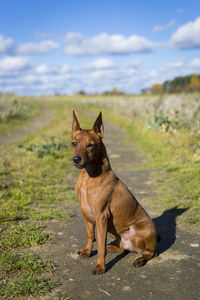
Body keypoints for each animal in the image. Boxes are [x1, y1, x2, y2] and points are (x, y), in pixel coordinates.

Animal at [71, 110, 159, 274]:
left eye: (90, 145)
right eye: (74, 143)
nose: (76, 159)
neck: (87, 177)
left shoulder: (101, 216)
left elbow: (100, 245)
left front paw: (100, 266)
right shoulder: (86, 213)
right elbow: (90, 235)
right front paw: (87, 251)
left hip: (137, 231)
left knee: (151, 252)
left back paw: (140, 260)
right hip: (114, 231)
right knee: (123, 248)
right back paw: (113, 247)